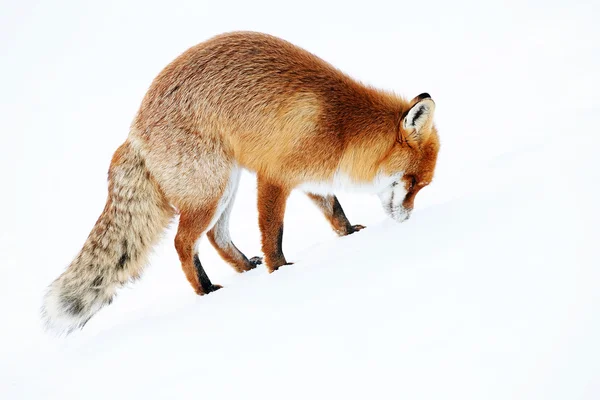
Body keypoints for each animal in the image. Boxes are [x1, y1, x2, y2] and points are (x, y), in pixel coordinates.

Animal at [41, 31, 436, 332]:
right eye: (413, 182)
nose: (408, 221)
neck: (340, 128)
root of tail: (134, 130)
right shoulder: (273, 176)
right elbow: (273, 232)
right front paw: (282, 272)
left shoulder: (311, 178)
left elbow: (334, 211)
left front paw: (351, 234)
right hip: (211, 190)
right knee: (183, 242)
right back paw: (207, 290)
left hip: (226, 184)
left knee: (215, 237)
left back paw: (245, 268)